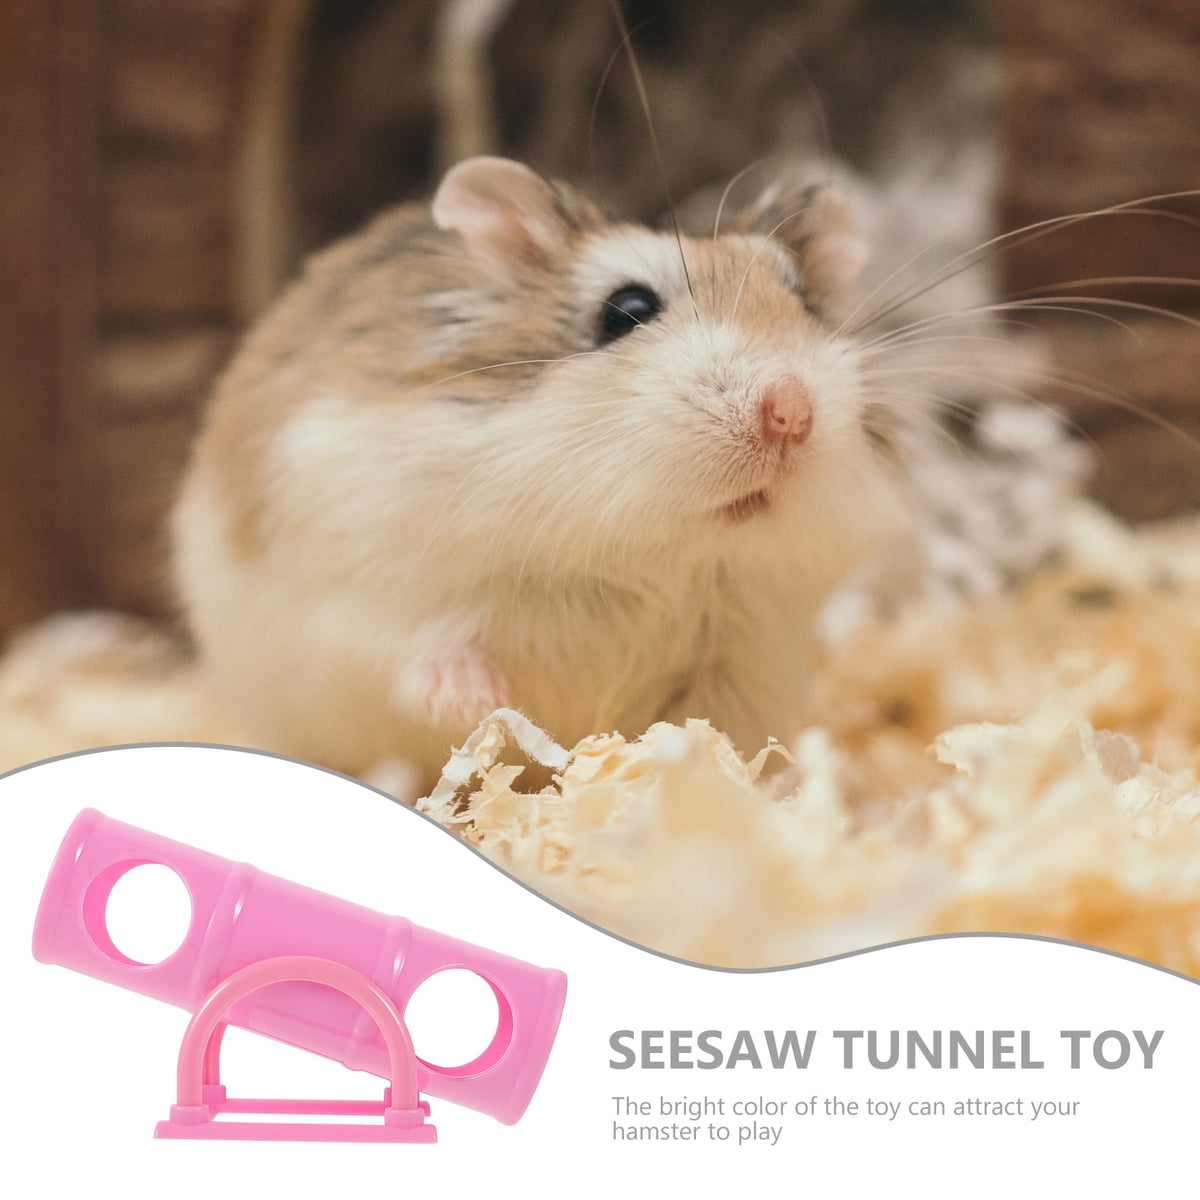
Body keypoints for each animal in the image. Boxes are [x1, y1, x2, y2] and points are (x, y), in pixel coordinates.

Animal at [172, 156, 906, 789]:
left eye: (805, 305)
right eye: (628, 311)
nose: (791, 411)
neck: (654, 556)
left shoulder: (740, 660)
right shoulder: (362, 590)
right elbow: (419, 650)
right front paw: (477, 705)